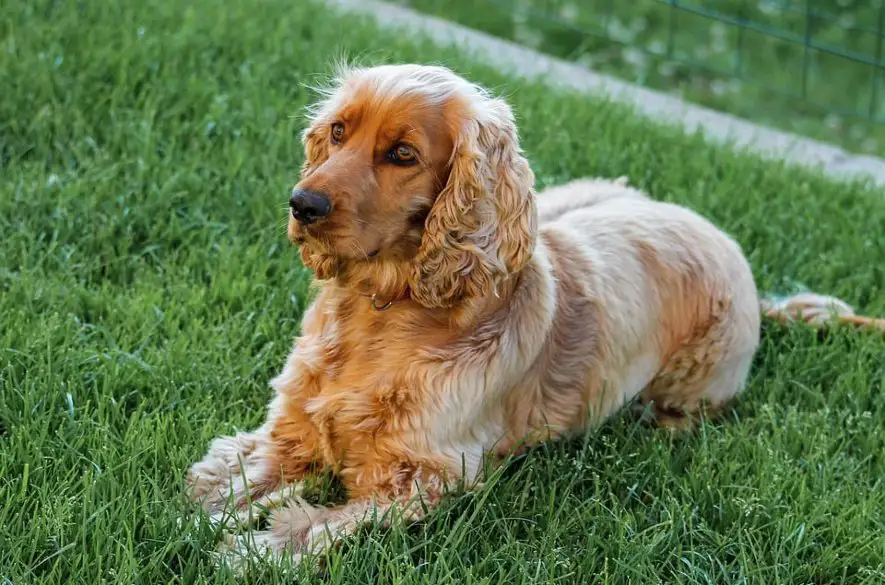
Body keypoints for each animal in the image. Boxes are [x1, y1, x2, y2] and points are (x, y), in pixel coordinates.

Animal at [183, 62, 880, 564]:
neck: (382, 313)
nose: (303, 203)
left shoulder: (428, 475)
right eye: (337, 132)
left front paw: (250, 548)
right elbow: (241, 473)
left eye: (403, 154)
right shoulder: (294, 425)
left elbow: (317, 526)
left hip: (695, 382)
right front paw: (207, 506)